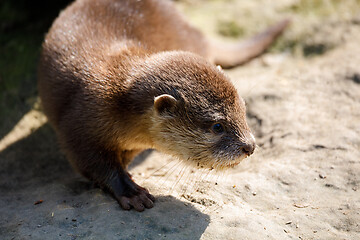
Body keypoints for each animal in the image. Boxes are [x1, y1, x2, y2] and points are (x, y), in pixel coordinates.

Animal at [38, 0, 288, 211]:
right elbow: (92, 162)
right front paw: (131, 191)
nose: (250, 146)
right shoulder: (79, 123)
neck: (114, 100)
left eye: (243, 112)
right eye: (217, 126)